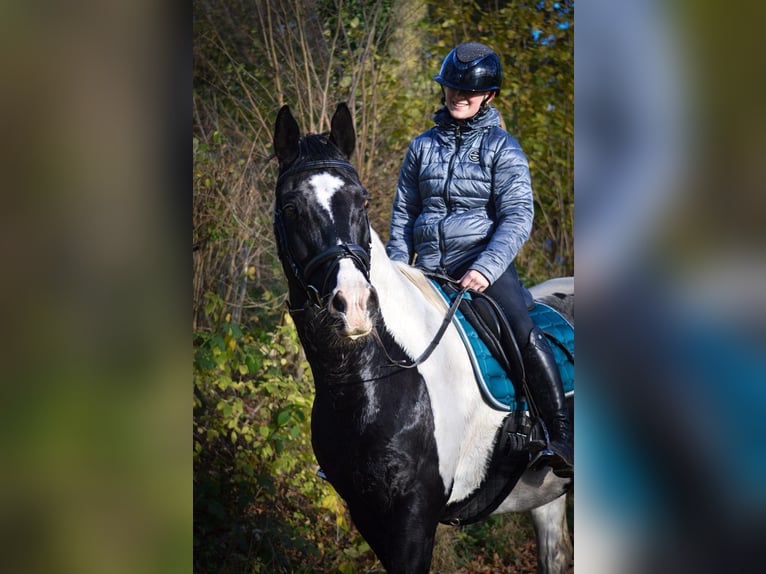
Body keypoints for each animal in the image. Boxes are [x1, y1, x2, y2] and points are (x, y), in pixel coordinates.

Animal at [272, 102, 573, 573]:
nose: (354, 305)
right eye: (290, 205)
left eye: (362, 200)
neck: (374, 379)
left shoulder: (414, 520)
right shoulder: (368, 515)